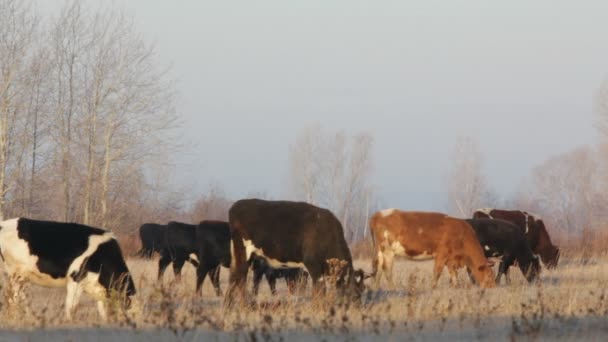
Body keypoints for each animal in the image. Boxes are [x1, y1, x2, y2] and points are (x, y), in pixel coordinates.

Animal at [0, 218, 135, 320]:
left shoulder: (100, 291)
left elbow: (103, 312)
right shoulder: (75, 280)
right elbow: (71, 308)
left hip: (21, 277)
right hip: (16, 274)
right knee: (12, 298)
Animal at [223, 198, 366, 308]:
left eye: (363, 290)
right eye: (354, 294)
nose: (358, 309)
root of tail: (237, 205)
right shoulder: (312, 263)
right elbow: (319, 288)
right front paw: (318, 307)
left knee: (234, 277)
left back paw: (228, 305)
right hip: (243, 252)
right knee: (240, 277)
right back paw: (243, 306)